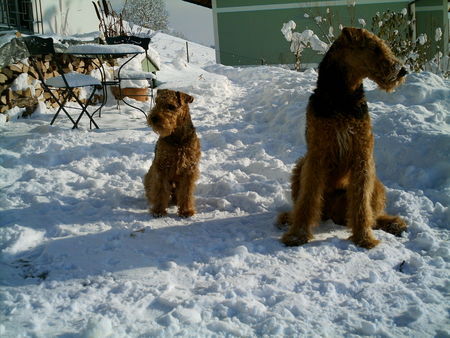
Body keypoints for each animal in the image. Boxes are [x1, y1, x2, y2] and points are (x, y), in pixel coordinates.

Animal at [144, 88, 200, 218]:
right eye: (156, 102)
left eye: (171, 106)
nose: (153, 118)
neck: (177, 139)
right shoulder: (162, 167)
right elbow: (160, 190)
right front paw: (158, 211)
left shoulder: (189, 169)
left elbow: (186, 192)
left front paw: (186, 211)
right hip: (150, 175)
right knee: (153, 191)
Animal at [278, 27, 408, 248]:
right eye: (374, 47)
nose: (402, 71)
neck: (342, 98)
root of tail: (331, 214)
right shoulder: (317, 155)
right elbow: (307, 199)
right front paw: (297, 235)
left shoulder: (362, 155)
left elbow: (362, 203)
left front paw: (364, 237)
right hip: (300, 166)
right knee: (304, 205)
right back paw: (288, 218)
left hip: (375, 184)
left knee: (373, 215)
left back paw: (394, 223)